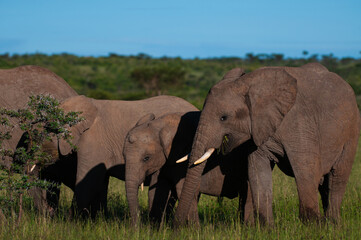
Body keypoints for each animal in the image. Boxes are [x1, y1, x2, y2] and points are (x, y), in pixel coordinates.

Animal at [122, 110, 255, 225]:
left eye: (146, 158)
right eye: (123, 156)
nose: (136, 228)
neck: (160, 124)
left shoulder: (183, 154)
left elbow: (182, 190)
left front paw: (192, 232)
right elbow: (157, 192)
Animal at [173, 62, 358, 226]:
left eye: (224, 118)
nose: (177, 226)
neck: (249, 84)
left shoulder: (299, 122)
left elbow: (305, 167)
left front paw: (312, 227)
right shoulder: (257, 129)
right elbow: (257, 169)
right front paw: (267, 229)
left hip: (351, 131)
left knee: (337, 177)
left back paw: (332, 224)